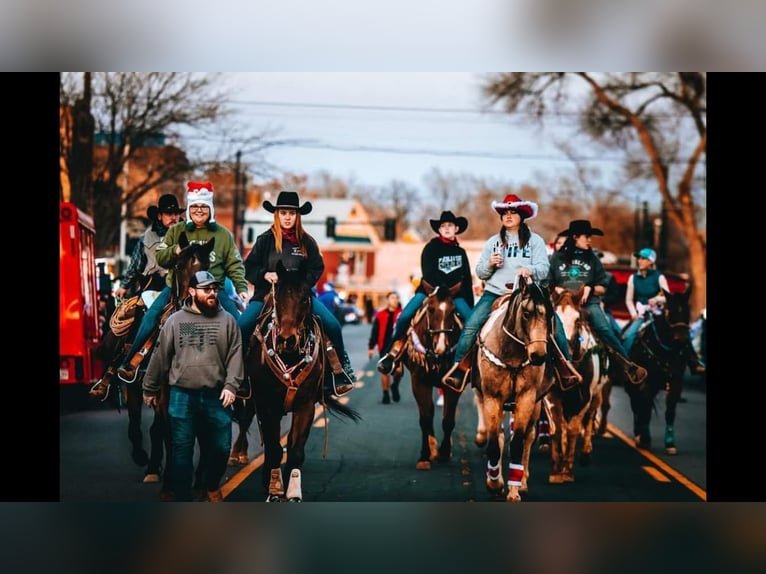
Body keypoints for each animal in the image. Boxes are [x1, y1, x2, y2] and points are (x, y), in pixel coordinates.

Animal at [234, 262, 364, 504]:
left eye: (305, 298)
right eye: (278, 298)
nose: (287, 339)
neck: (289, 356)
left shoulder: (305, 406)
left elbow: (295, 449)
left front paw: (292, 490)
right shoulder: (267, 405)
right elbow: (275, 448)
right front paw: (274, 489)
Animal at [400, 282, 464, 470]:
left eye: (453, 310)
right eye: (430, 309)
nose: (441, 346)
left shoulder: (453, 384)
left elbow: (448, 420)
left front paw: (444, 452)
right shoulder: (419, 382)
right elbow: (425, 418)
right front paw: (425, 455)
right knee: (429, 412)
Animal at [472, 276, 556, 502]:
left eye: (550, 315)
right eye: (526, 314)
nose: (538, 355)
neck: (512, 354)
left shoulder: (526, 398)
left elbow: (518, 443)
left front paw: (513, 490)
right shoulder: (492, 398)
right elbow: (494, 443)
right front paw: (494, 483)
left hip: (536, 405)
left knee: (528, 437)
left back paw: (523, 481)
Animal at [544, 288, 612, 486]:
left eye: (577, 320)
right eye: (554, 318)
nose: (564, 348)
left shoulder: (584, 398)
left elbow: (574, 430)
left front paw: (567, 470)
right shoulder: (552, 397)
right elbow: (558, 429)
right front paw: (556, 469)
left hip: (596, 394)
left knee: (589, 418)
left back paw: (585, 453)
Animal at [624, 288, 696, 454]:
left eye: (687, 311)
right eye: (670, 312)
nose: (682, 340)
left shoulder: (676, 382)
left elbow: (670, 411)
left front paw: (670, 443)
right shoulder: (646, 383)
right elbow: (645, 409)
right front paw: (644, 439)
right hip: (632, 384)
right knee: (636, 405)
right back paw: (638, 433)